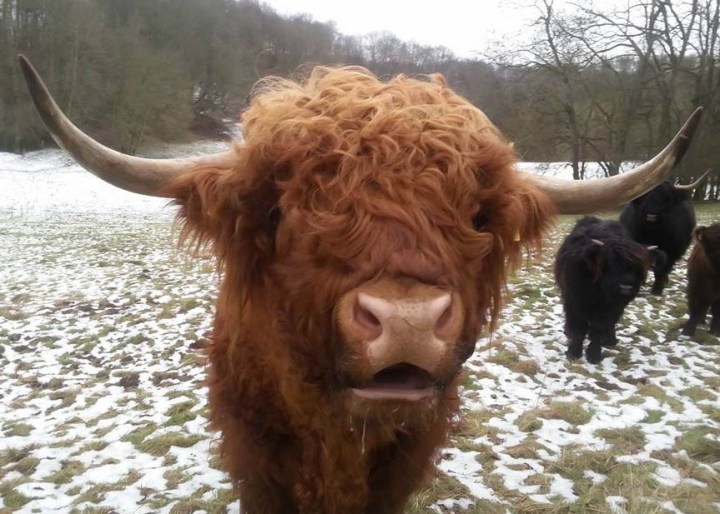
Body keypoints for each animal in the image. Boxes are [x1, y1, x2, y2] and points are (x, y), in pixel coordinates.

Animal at [554, 217, 666, 364]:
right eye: (611, 262)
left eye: (639, 267)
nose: (625, 287)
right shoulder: (575, 302)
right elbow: (579, 328)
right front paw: (573, 353)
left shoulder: (610, 307)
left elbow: (599, 327)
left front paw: (594, 354)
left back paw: (610, 340)